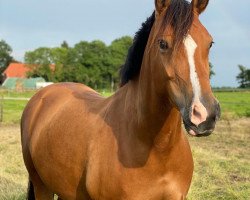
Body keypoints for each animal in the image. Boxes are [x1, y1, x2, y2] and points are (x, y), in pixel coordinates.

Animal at [21, 0, 221, 198]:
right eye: (163, 43)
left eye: (210, 43)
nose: (203, 114)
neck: (156, 148)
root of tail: (43, 94)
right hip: (41, 186)